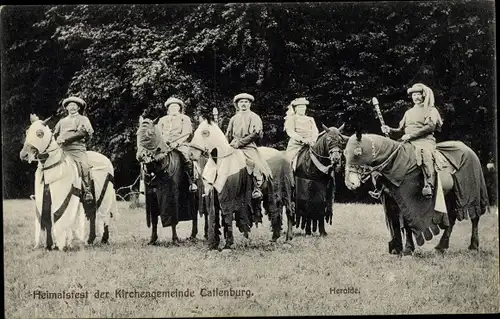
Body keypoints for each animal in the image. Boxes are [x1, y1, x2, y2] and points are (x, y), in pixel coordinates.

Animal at [19, 114, 117, 250]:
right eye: (27, 132)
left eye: (40, 133)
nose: (24, 155)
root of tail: (106, 159)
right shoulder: (45, 198)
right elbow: (47, 221)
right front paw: (49, 246)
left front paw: (58, 245)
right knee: (92, 214)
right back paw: (90, 240)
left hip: (104, 195)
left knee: (104, 216)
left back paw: (104, 240)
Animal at [136, 117, 206, 245]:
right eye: (137, 133)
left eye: (151, 133)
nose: (140, 156)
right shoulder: (152, 197)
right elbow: (154, 220)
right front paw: (152, 239)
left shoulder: (171, 197)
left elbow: (172, 218)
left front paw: (175, 239)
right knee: (194, 215)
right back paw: (192, 236)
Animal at [344, 132, 488, 255]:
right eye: (345, 153)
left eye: (358, 152)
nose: (350, 183)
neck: (395, 164)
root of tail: (469, 150)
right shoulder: (391, 200)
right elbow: (395, 224)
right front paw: (396, 249)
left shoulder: (407, 201)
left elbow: (407, 224)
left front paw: (408, 249)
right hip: (449, 196)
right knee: (451, 218)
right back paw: (441, 247)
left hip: (471, 193)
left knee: (475, 217)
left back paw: (473, 246)